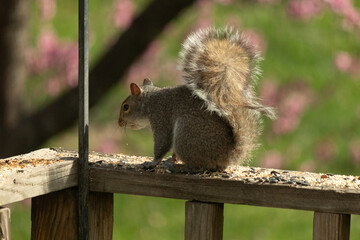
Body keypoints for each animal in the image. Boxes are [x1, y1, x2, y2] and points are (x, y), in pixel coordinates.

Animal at [118, 27, 276, 172]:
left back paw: (179, 167)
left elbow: (162, 143)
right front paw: (169, 158)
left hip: (186, 130)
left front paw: (152, 162)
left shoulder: (161, 118)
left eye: (126, 107)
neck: (151, 102)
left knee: (197, 165)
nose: (119, 123)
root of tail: (227, 158)